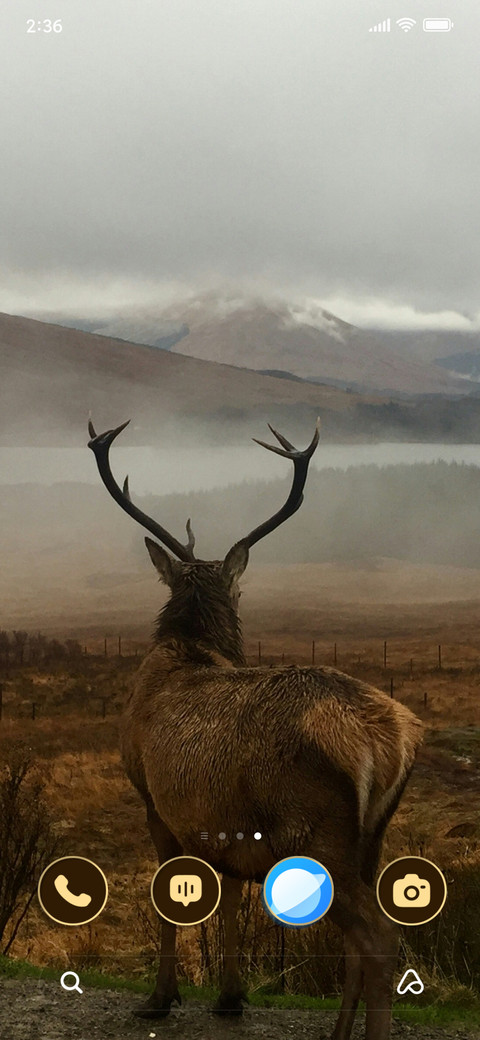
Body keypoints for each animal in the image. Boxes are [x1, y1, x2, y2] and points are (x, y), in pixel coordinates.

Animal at [88, 417, 423, 1040]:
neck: (189, 649)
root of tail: (391, 743)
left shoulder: (152, 797)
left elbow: (171, 895)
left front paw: (160, 997)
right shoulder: (231, 822)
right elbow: (233, 896)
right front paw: (230, 995)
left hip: (314, 832)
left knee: (378, 935)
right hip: (372, 835)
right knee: (361, 937)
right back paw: (338, 1032)